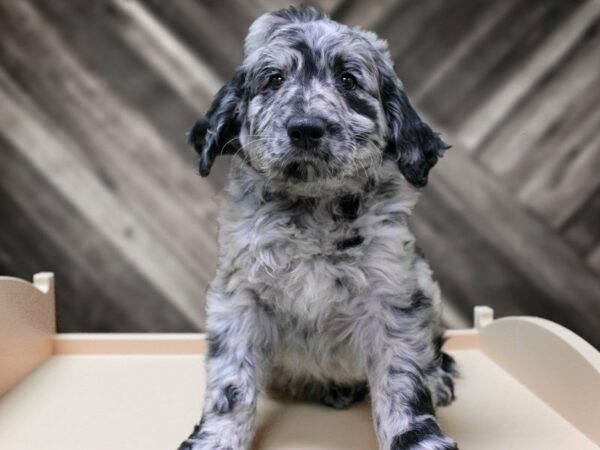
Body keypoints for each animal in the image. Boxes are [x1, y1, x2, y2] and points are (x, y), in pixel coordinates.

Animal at [180, 6, 458, 450]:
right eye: (274, 80)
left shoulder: (393, 299)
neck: (313, 210)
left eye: (347, 80)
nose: (306, 128)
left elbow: (403, 382)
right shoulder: (239, 300)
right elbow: (231, 384)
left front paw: (417, 439)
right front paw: (216, 439)